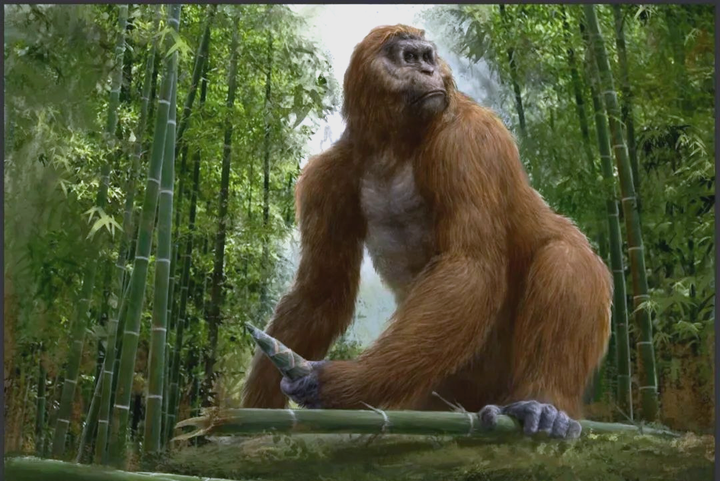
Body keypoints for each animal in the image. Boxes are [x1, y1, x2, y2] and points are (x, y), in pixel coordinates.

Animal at [241, 25, 612, 440]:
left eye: (428, 57)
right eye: (410, 58)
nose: (429, 71)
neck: (391, 148)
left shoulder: (467, 140)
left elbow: (469, 266)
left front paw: (340, 382)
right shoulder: (326, 176)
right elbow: (319, 294)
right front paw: (257, 414)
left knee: (564, 261)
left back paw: (544, 405)